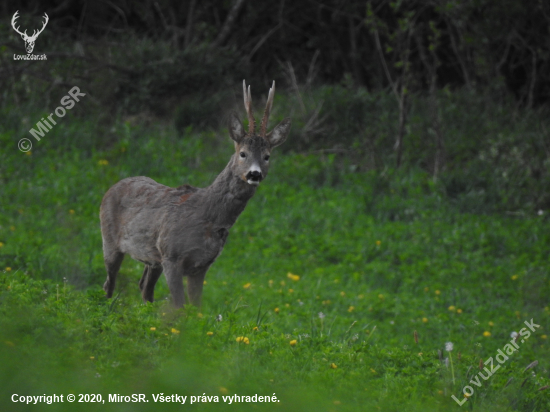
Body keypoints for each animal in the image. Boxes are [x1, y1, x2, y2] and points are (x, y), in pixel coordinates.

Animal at [99, 80, 292, 306]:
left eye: (267, 156)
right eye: (242, 153)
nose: (254, 174)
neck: (208, 216)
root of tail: (113, 186)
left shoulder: (202, 264)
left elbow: (196, 307)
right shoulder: (171, 255)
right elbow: (179, 305)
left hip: (153, 257)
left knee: (144, 287)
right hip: (110, 240)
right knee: (109, 283)